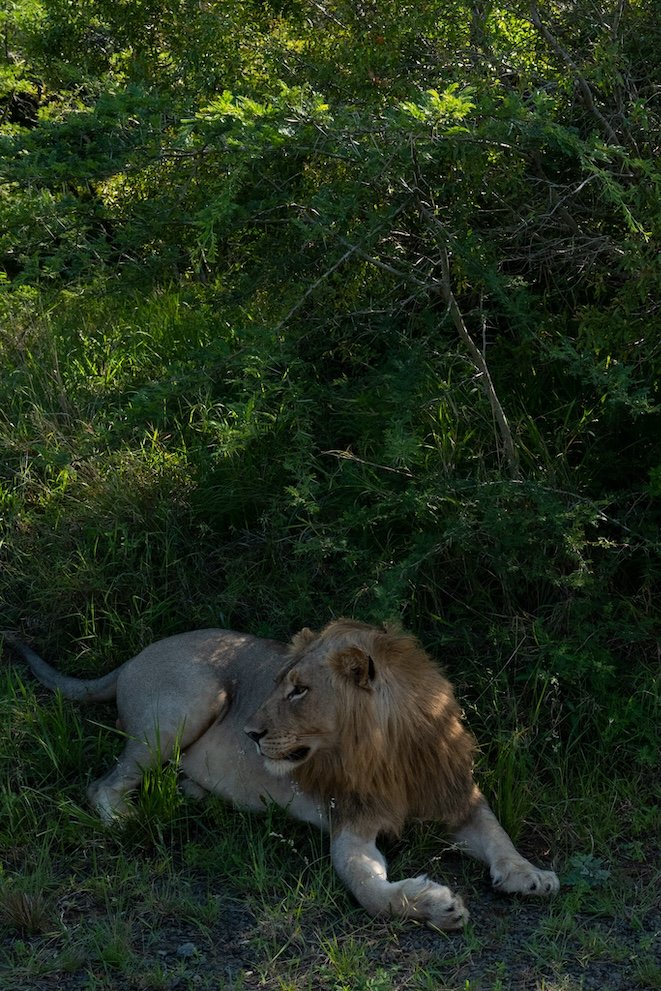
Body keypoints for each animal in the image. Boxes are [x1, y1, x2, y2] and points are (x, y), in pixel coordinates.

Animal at [7, 620, 560, 928]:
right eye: (279, 684)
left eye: (299, 690)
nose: (250, 733)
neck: (388, 751)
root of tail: (131, 659)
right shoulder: (349, 824)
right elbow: (368, 889)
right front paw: (434, 905)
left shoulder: (458, 795)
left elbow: (496, 832)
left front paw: (528, 873)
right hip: (191, 702)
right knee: (103, 784)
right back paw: (126, 820)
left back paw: (196, 794)